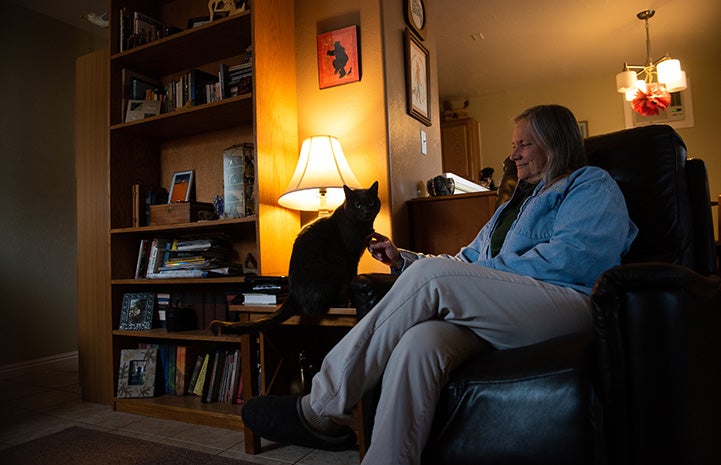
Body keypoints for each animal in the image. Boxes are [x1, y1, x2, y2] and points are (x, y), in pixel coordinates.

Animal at [210, 181, 380, 334]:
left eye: (371, 203)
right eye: (357, 205)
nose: (366, 211)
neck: (363, 226)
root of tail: (291, 295)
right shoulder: (351, 257)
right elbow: (352, 276)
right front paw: (353, 300)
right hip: (336, 270)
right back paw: (342, 303)